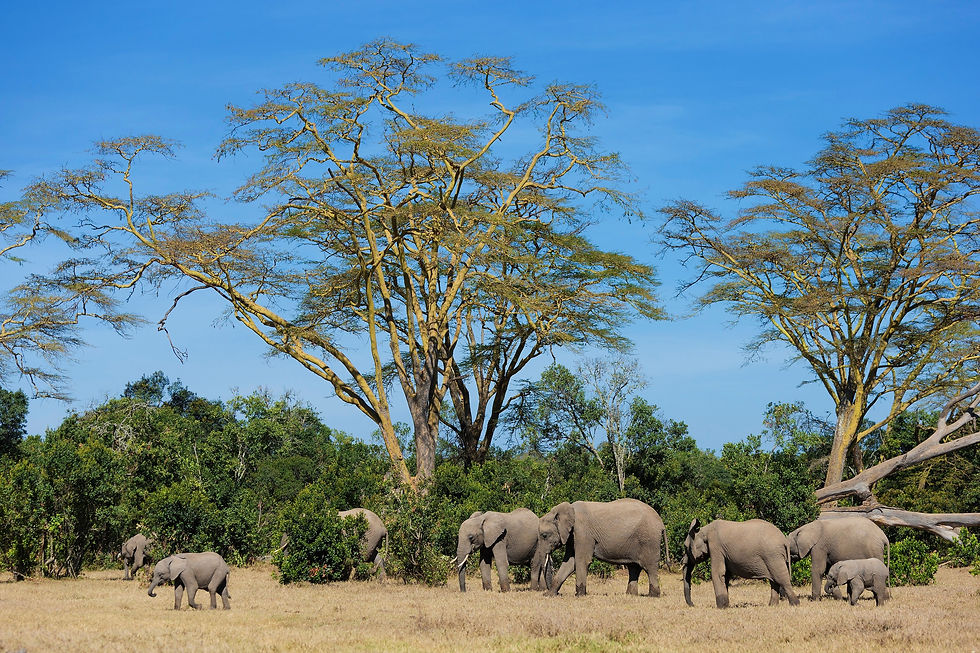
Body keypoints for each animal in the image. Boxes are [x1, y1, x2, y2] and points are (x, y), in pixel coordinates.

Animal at [533, 498, 667, 597]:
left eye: (544, 535)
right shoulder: (573, 536)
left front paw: (579, 595)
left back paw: (653, 595)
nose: (559, 594)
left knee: (649, 567)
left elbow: (581, 561)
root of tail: (661, 523)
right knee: (634, 567)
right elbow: (569, 562)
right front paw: (549, 595)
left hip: (649, 540)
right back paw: (630, 595)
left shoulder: (583, 533)